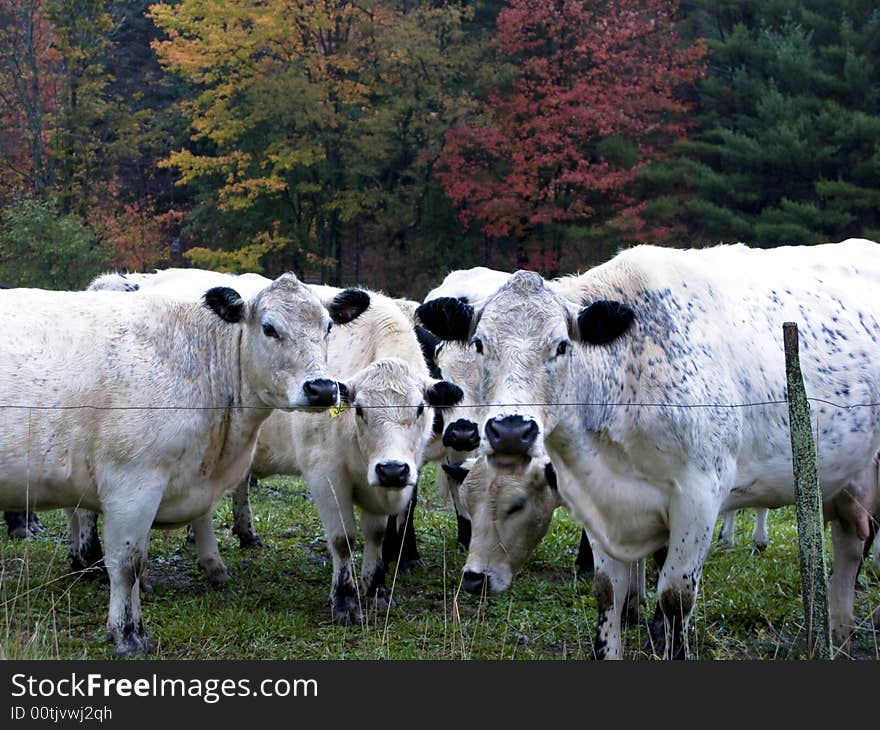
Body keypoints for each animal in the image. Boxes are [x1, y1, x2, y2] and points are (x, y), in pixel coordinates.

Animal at [0, 276, 368, 652]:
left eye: (328, 326)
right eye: (269, 328)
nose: (322, 389)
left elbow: (138, 563)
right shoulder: (131, 484)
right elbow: (127, 565)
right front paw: (128, 635)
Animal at [418, 242, 880, 656]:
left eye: (562, 345)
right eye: (480, 344)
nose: (511, 430)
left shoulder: (699, 499)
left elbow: (675, 598)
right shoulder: (594, 499)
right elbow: (608, 591)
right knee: (849, 543)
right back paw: (838, 632)